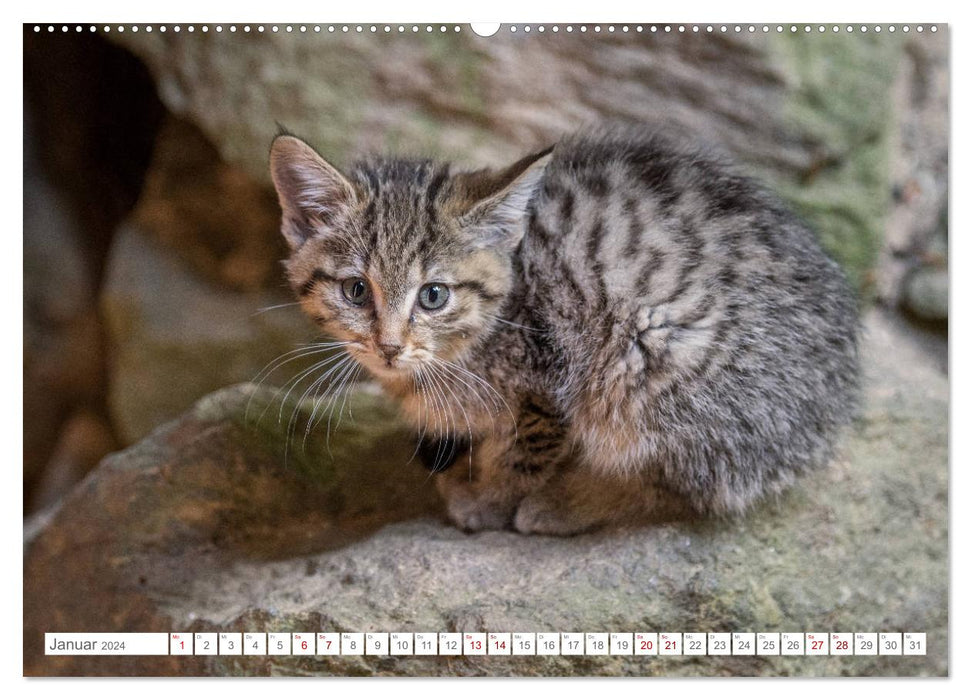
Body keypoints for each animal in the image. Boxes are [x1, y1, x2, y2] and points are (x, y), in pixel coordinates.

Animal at [270, 126, 860, 532]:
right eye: (356, 291)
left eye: (433, 296)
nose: (389, 347)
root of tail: (835, 400)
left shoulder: (548, 386)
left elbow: (519, 457)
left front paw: (486, 501)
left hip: (650, 356)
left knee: (684, 485)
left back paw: (565, 504)